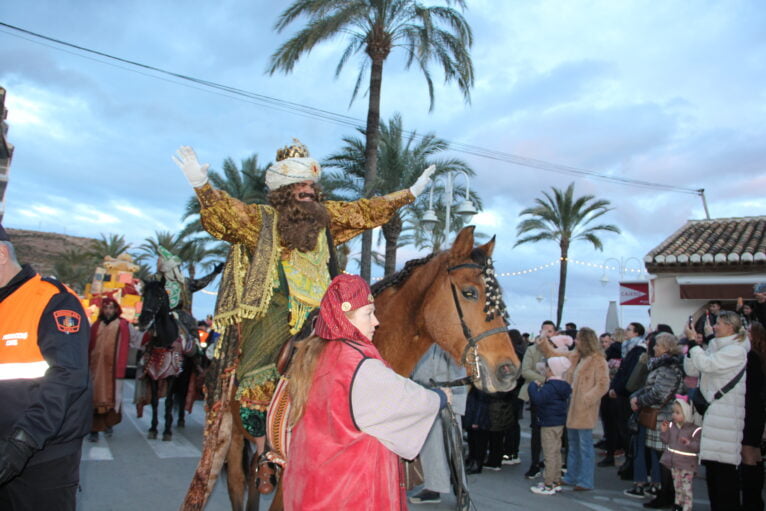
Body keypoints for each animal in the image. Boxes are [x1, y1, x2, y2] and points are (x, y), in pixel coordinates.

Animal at [137, 278, 184, 442]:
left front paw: (167, 431)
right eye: (144, 295)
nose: (144, 320)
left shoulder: (173, 375)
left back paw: (179, 420)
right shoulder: (152, 373)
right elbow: (155, 400)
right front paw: (153, 428)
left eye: (159, 296)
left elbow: (169, 402)